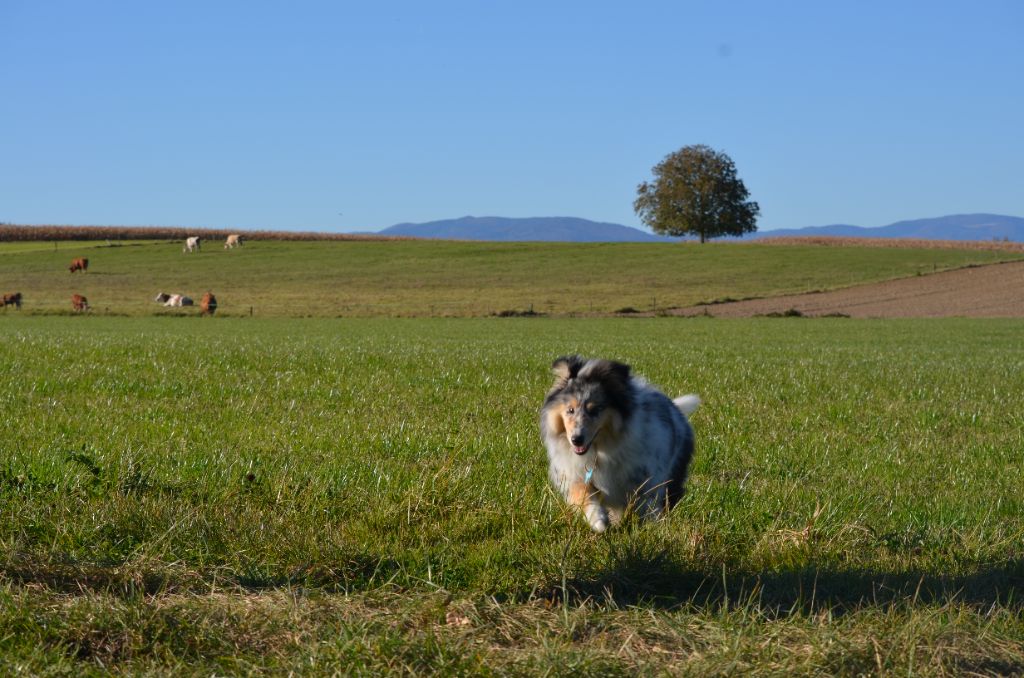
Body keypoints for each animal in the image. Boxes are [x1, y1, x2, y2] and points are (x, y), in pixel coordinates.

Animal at [540, 356, 700, 536]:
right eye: (570, 410)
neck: (601, 449)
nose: (576, 439)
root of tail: (676, 409)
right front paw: (598, 521)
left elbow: (648, 504)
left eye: (594, 410)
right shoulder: (575, 473)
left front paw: (651, 530)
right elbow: (583, 494)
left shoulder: (646, 478)